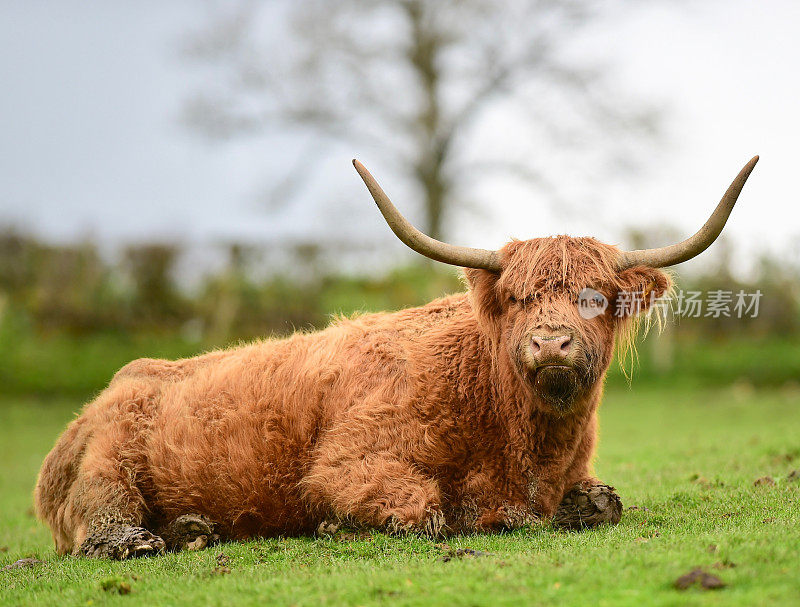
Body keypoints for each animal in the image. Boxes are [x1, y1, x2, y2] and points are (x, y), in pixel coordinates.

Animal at [34, 156, 760, 560]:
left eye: (595, 297)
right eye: (518, 297)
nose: (550, 343)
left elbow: (606, 502)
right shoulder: (345, 465)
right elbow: (425, 512)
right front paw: (340, 527)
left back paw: (193, 527)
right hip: (108, 467)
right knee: (101, 520)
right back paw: (145, 539)